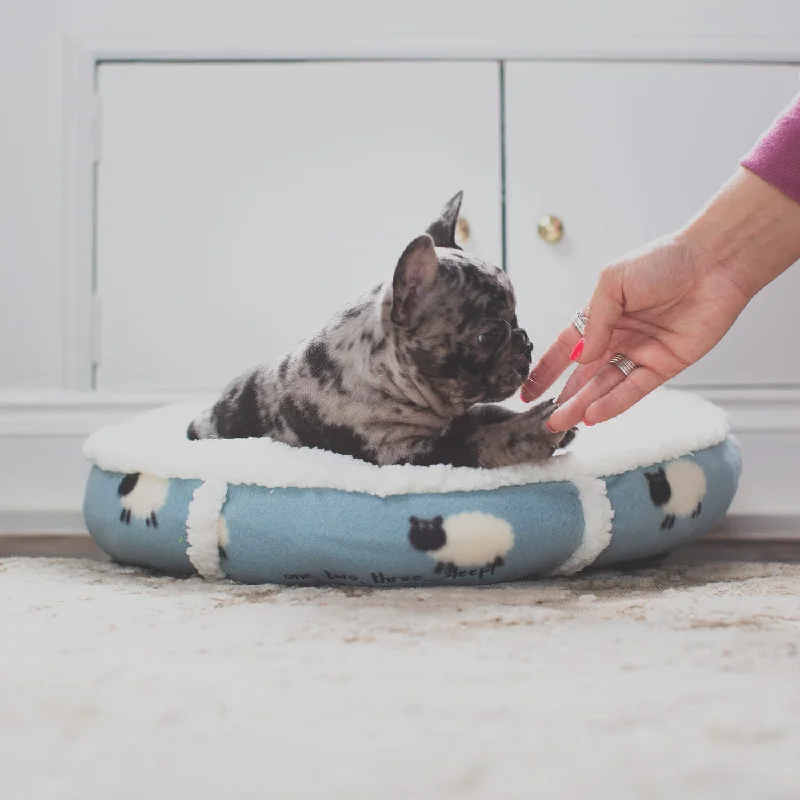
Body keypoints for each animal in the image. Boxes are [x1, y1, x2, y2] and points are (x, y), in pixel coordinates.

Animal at [188, 192, 576, 468]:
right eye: (488, 336)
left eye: (516, 320)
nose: (525, 342)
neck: (386, 376)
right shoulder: (405, 453)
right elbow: (482, 440)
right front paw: (532, 430)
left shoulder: (460, 417)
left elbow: (490, 414)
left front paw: (550, 420)